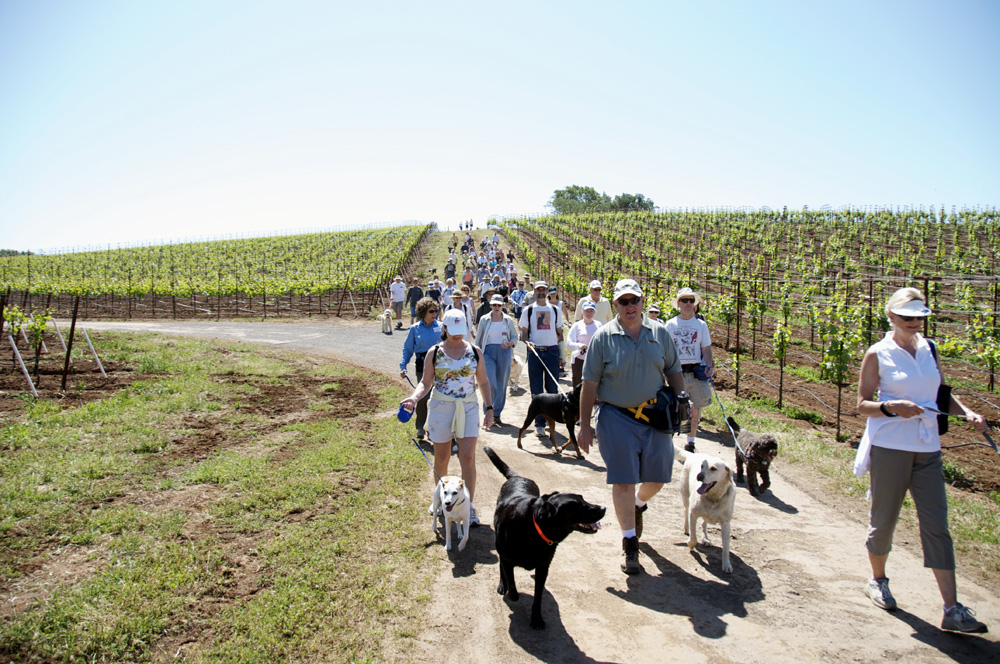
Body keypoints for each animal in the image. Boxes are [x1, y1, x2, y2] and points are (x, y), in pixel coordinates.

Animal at [482, 446, 600, 628]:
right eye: (577, 506)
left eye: (584, 499)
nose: (603, 508)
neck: (535, 527)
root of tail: (517, 477)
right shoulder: (508, 559)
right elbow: (513, 588)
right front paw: (509, 590)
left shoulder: (543, 567)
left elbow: (538, 597)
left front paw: (537, 619)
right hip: (499, 546)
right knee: (502, 568)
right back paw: (502, 586)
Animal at [676, 444, 740, 572]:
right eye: (702, 466)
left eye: (714, 469)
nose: (699, 476)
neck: (714, 498)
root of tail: (694, 455)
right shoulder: (693, 514)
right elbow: (693, 537)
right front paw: (691, 544)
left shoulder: (726, 524)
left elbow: (726, 548)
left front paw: (727, 565)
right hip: (685, 496)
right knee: (686, 512)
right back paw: (686, 528)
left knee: (704, 523)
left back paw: (705, 538)